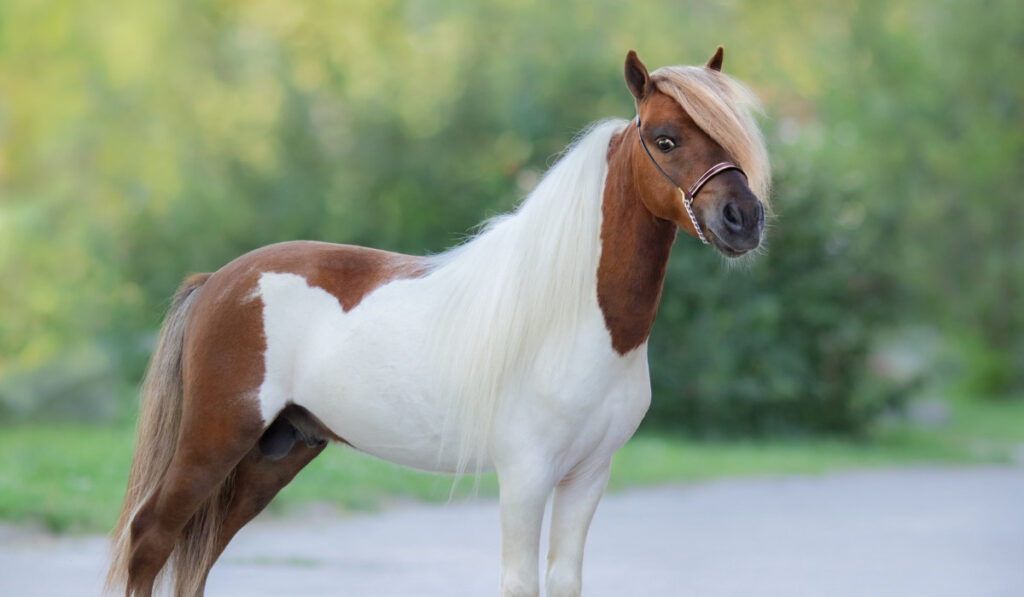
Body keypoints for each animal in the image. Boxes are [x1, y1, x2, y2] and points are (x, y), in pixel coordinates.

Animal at [110, 47, 770, 597]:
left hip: (275, 453)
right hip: (213, 441)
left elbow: (564, 581)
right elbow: (520, 583)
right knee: (150, 538)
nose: (744, 219)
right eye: (665, 139)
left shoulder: (587, 477)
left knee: (201, 551)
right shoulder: (525, 477)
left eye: (732, 135)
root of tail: (217, 282)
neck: (575, 325)